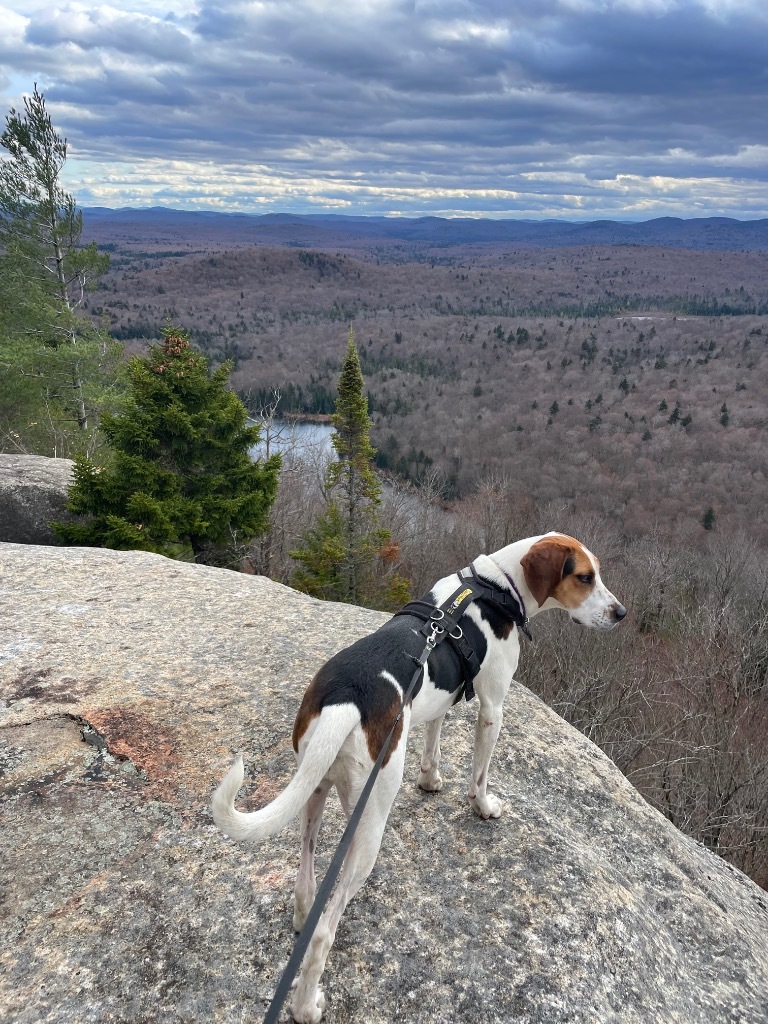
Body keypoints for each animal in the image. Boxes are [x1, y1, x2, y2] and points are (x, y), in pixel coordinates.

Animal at [210, 532, 626, 1019]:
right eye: (584, 577)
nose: (621, 613)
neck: (497, 584)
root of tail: (346, 698)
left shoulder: (438, 702)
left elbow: (433, 741)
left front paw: (429, 781)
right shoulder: (493, 708)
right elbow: (480, 774)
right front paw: (483, 807)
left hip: (315, 789)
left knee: (306, 880)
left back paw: (303, 914)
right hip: (371, 811)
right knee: (326, 927)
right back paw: (306, 1006)